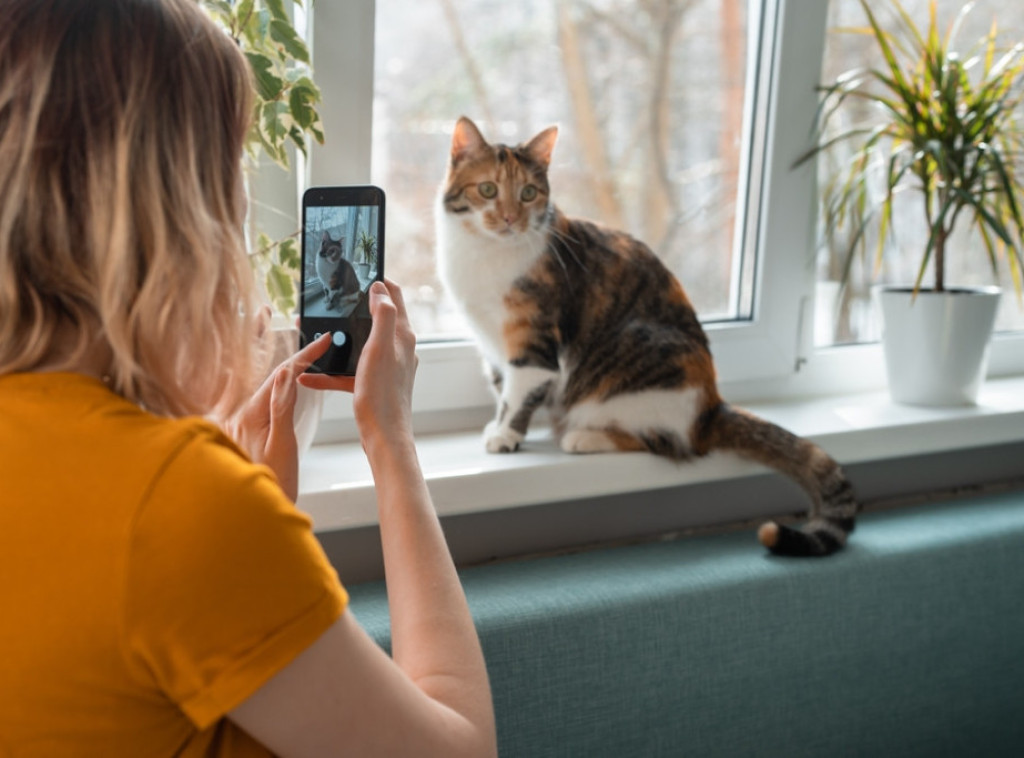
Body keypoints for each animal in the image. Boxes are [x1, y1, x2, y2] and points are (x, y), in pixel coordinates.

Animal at [432, 116, 856, 557]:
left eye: (528, 193)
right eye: (487, 189)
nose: (511, 218)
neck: (483, 254)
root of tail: (712, 406)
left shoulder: (532, 341)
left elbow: (518, 393)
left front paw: (506, 436)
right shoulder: (491, 345)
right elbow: (503, 387)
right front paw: (498, 426)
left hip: (635, 362)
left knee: (667, 442)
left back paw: (584, 437)